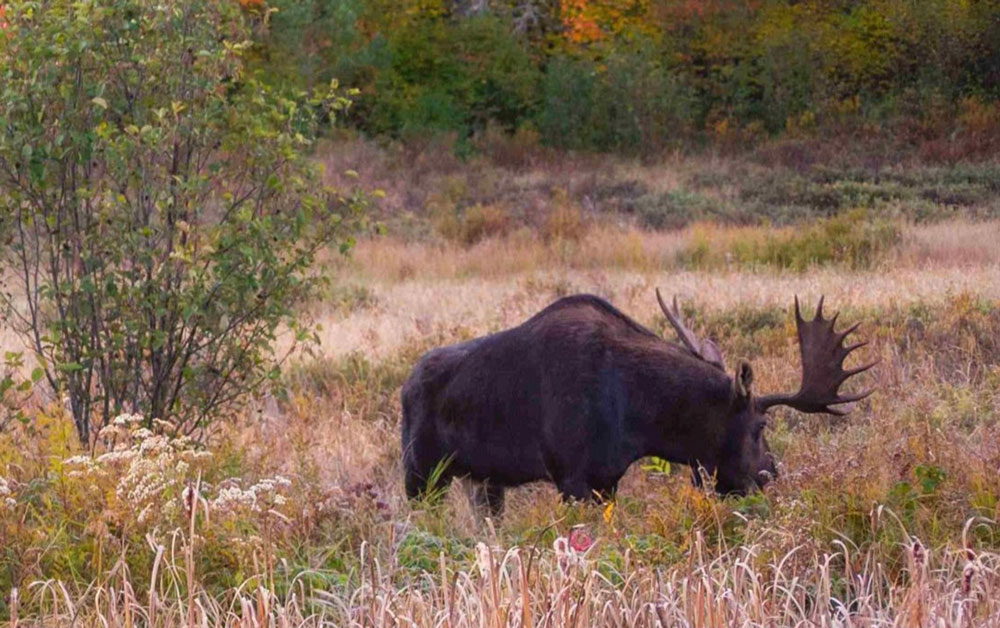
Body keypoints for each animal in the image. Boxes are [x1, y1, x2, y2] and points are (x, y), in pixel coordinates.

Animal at [401, 290, 874, 515]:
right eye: (761, 427)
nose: (771, 475)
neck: (640, 419)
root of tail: (405, 386)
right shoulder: (571, 477)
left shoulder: (606, 479)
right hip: (421, 474)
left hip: (482, 482)